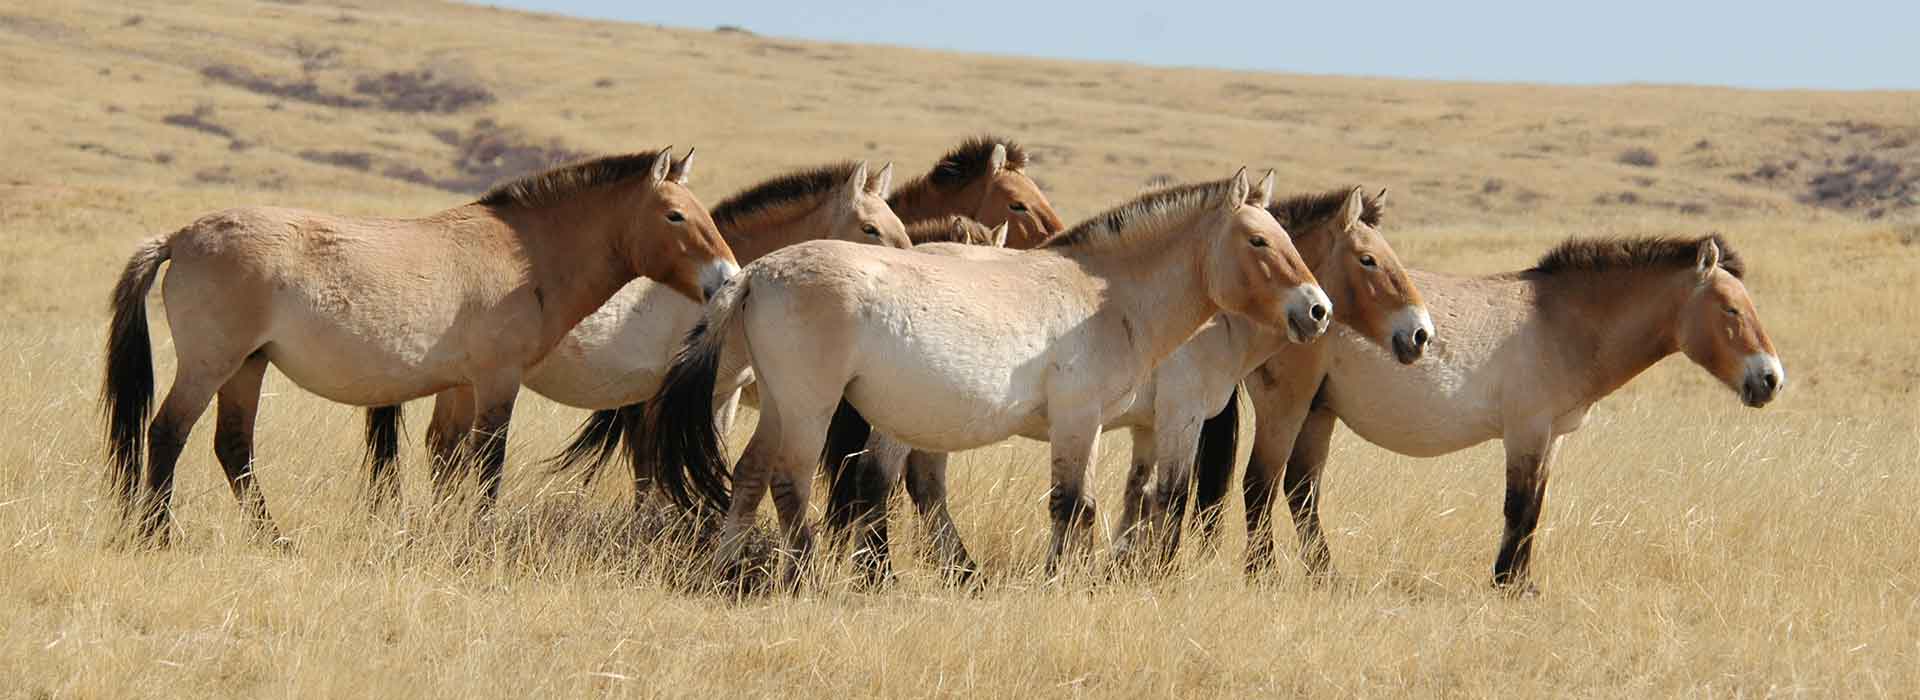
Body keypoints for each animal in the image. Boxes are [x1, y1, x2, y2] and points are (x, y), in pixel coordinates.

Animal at [99, 148, 737, 545]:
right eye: (676, 215)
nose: (727, 279)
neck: (525, 256)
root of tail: (181, 237)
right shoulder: (497, 381)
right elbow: (486, 464)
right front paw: (478, 537)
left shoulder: (459, 386)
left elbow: (446, 460)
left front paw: (439, 532)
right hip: (211, 365)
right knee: (167, 433)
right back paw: (156, 535)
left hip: (246, 369)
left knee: (233, 448)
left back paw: (273, 540)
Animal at [358, 160, 911, 509]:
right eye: (869, 228)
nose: (910, 264)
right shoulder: (688, 394)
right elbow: (667, 463)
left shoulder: (706, 395)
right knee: (446, 449)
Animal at [640, 169, 1331, 584]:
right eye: (1259, 242)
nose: (1318, 309)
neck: (1109, 298)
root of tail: (755, 272)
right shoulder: (1086, 419)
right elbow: (1073, 504)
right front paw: (1061, 581)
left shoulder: (1107, 426)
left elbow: (1099, 505)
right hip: (810, 408)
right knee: (792, 485)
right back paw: (807, 577)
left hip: (783, 406)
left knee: (750, 476)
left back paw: (728, 572)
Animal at [822, 186, 1432, 583]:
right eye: (1369, 259)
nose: (1420, 334)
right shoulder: (1180, 416)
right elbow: (1170, 496)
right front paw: (1151, 574)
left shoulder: (1143, 426)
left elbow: (1135, 497)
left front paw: (1118, 568)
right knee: (881, 481)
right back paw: (885, 577)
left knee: (918, 486)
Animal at [1191, 233, 1783, 594]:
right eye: (1732, 309)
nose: (1771, 380)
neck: (1562, 322)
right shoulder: (1526, 432)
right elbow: (1517, 508)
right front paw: (1506, 584)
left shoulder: (1551, 437)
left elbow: (1534, 509)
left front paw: (1523, 582)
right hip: (1288, 406)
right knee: (1261, 485)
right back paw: (1263, 577)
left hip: (1319, 412)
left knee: (1300, 491)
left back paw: (1327, 578)